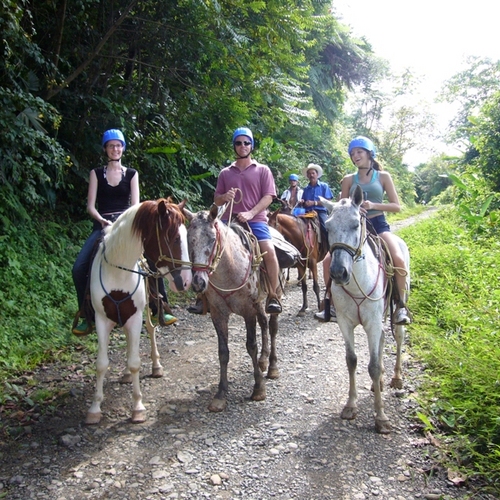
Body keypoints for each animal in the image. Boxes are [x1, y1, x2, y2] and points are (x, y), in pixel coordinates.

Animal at [86, 197, 191, 424]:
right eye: (174, 238)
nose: (186, 281)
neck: (118, 271)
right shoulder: (101, 319)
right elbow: (101, 364)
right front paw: (95, 408)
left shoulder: (135, 317)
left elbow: (135, 362)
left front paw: (138, 408)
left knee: (150, 330)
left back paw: (156, 367)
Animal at [320, 187, 410, 434]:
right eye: (327, 227)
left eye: (355, 225)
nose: (338, 272)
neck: (357, 281)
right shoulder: (345, 322)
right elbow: (352, 360)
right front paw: (350, 406)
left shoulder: (372, 322)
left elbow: (374, 366)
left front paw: (381, 417)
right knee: (382, 340)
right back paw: (380, 383)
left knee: (398, 337)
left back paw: (396, 378)